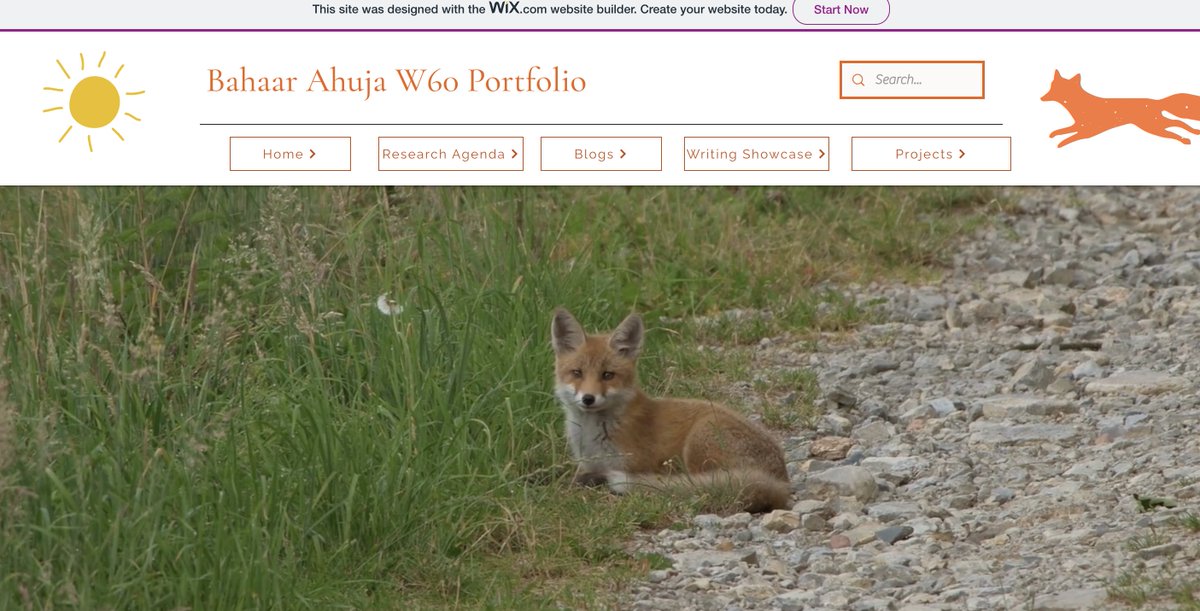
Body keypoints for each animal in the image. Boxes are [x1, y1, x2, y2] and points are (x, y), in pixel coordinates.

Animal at [550, 308, 792, 514]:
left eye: (607, 375)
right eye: (577, 373)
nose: (588, 399)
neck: (593, 436)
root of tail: (782, 482)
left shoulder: (630, 464)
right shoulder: (585, 465)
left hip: (699, 442)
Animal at [1041, 69, 1200, 147]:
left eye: (1056, 89)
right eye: (1051, 86)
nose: (1042, 98)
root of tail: (1157, 101)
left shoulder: (1088, 131)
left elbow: (1069, 137)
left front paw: (1060, 144)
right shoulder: (1079, 126)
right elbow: (1063, 131)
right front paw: (1054, 135)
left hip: (1153, 127)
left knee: (1177, 126)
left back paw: (1187, 138)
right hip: (1155, 125)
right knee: (1178, 123)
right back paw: (1192, 134)